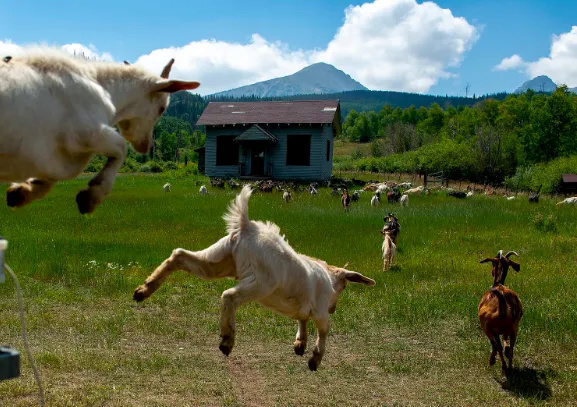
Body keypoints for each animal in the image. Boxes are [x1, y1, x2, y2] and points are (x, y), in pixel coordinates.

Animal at [0, 47, 200, 214]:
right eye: (162, 108)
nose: (145, 146)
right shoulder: (85, 134)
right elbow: (121, 148)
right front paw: (91, 196)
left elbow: (48, 177)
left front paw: (22, 192)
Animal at [133, 186, 376, 372]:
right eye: (344, 287)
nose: (334, 308)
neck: (326, 275)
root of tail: (247, 227)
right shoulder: (320, 311)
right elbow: (324, 329)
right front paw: (315, 359)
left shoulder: (303, 307)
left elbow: (301, 319)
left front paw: (300, 344)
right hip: (260, 282)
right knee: (229, 296)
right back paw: (227, 340)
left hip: (218, 259)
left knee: (179, 255)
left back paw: (144, 290)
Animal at [476, 250, 520, 378]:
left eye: (492, 264)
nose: (492, 272)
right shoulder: (506, 330)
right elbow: (505, 343)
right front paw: (506, 351)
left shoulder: (493, 330)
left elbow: (497, 344)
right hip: (514, 328)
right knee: (511, 347)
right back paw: (509, 367)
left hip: (487, 327)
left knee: (496, 345)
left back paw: (496, 363)